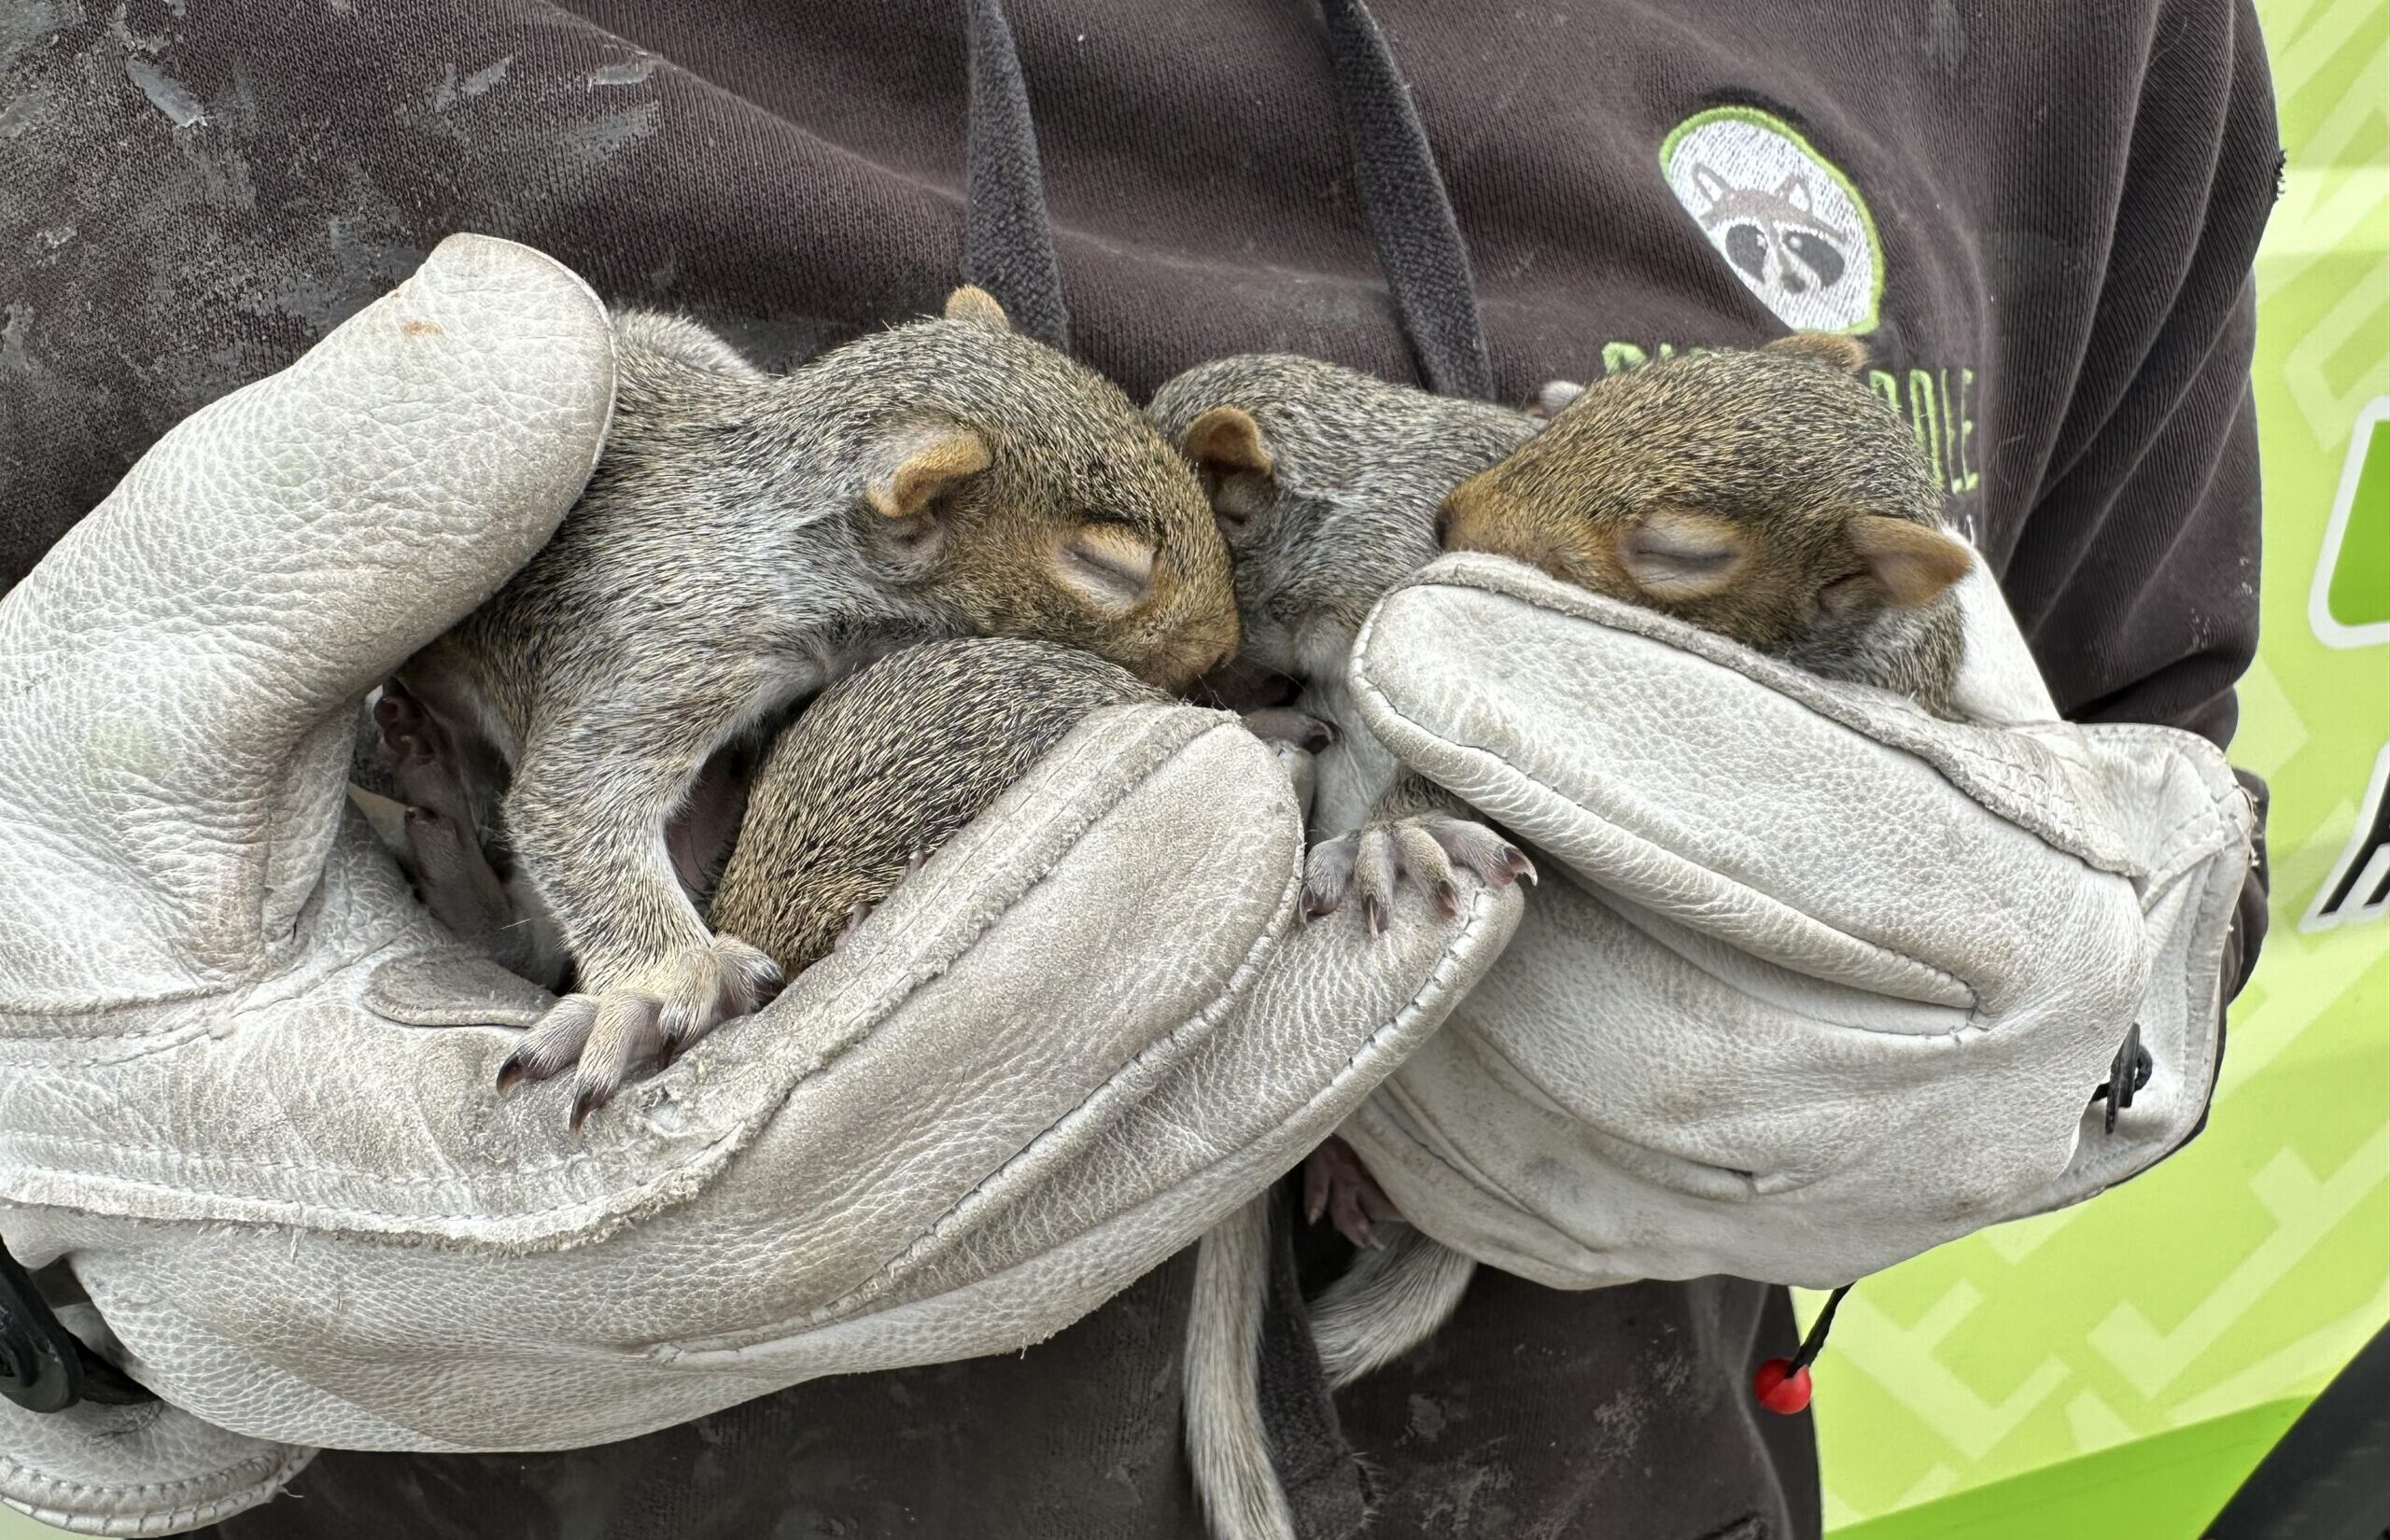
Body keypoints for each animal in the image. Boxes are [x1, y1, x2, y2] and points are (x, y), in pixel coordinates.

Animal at [388, 288, 1246, 1114]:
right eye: (1106, 568)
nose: (1224, 649)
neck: (790, 554)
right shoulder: (659, 647)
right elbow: (572, 801)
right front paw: (665, 983)